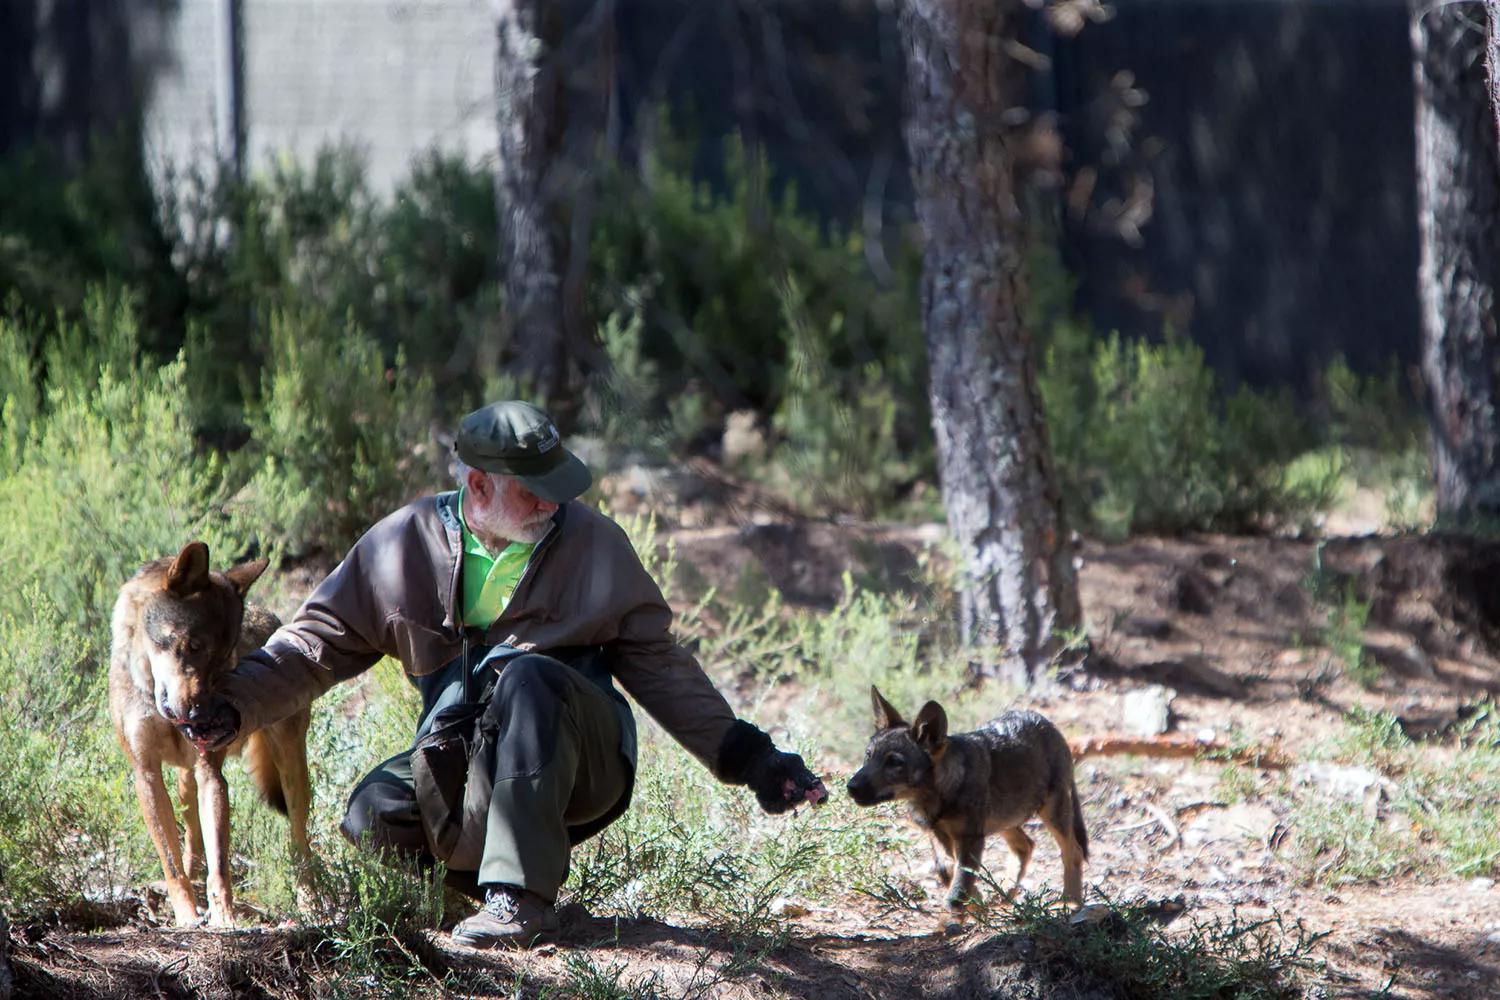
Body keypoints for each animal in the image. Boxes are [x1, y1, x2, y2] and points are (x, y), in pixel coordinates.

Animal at [109, 542, 315, 929]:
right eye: (191, 646)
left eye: (221, 663)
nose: (201, 718)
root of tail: (273, 617)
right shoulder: (147, 774)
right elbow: (173, 863)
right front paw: (188, 916)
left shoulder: (211, 774)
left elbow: (220, 864)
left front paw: (224, 919)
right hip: (183, 780)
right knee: (191, 838)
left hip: (292, 771)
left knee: (300, 843)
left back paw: (310, 902)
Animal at [846, 689, 1092, 905]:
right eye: (868, 756)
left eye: (894, 762)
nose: (851, 787)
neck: (938, 798)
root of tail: (1045, 721)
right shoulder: (938, 833)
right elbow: (947, 870)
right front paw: (976, 901)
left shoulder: (970, 838)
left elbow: (959, 882)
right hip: (1003, 819)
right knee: (1026, 845)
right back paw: (1004, 895)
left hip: (1051, 813)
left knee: (1073, 851)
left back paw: (1070, 903)